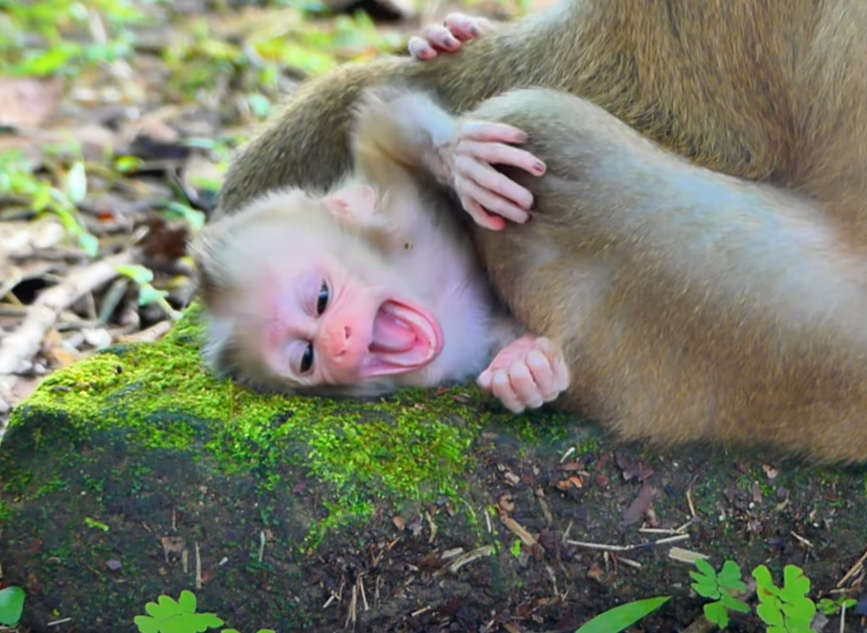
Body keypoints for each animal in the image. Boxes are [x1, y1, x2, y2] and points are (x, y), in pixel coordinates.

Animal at [193, 86, 570, 412]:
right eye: (306, 358)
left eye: (321, 298)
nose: (340, 343)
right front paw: (526, 372)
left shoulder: (401, 207)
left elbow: (380, 119)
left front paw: (456, 154)